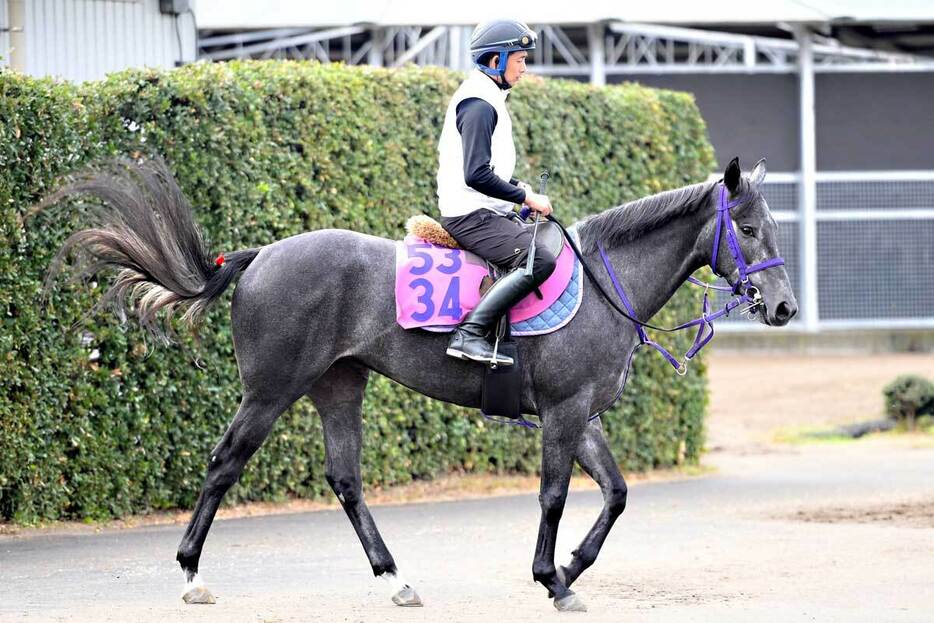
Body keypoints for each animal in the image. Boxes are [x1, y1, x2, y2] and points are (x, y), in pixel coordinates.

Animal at [45, 155, 796, 608]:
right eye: (747, 227)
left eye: (771, 225)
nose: (785, 308)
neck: (601, 283)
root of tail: (258, 257)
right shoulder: (562, 412)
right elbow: (555, 496)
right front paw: (550, 577)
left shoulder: (583, 415)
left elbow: (615, 493)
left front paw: (573, 569)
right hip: (269, 391)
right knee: (224, 462)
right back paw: (193, 572)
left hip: (338, 387)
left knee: (345, 479)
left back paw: (396, 577)